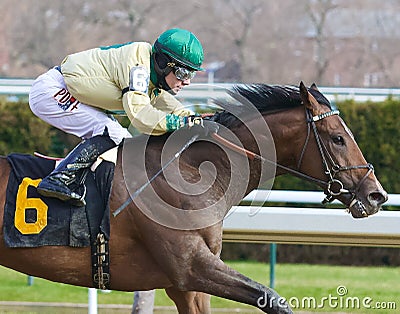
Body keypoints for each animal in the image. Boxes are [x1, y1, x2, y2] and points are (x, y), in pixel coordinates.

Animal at [0, 82, 390, 312]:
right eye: (338, 138)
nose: (376, 195)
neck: (188, 172)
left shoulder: (186, 285)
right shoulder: (192, 268)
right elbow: (274, 299)